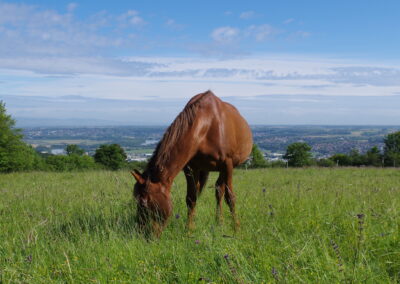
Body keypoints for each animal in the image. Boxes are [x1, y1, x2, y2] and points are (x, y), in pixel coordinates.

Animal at [132, 90, 253, 235]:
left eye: (144, 203)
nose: (141, 232)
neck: (208, 125)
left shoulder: (227, 165)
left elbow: (230, 198)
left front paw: (236, 228)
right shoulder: (190, 168)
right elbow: (191, 198)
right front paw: (189, 229)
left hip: (224, 168)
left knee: (220, 191)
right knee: (218, 189)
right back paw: (219, 221)